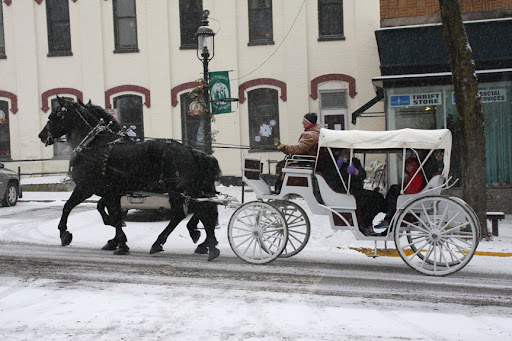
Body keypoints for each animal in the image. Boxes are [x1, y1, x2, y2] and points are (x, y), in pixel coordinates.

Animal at [38, 96, 222, 260]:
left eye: (55, 115)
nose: (42, 135)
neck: (93, 144)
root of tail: (191, 152)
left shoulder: (86, 187)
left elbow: (68, 207)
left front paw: (64, 233)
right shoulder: (112, 192)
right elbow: (111, 212)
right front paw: (118, 240)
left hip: (178, 191)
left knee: (187, 213)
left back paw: (171, 243)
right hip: (190, 191)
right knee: (202, 212)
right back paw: (205, 244)